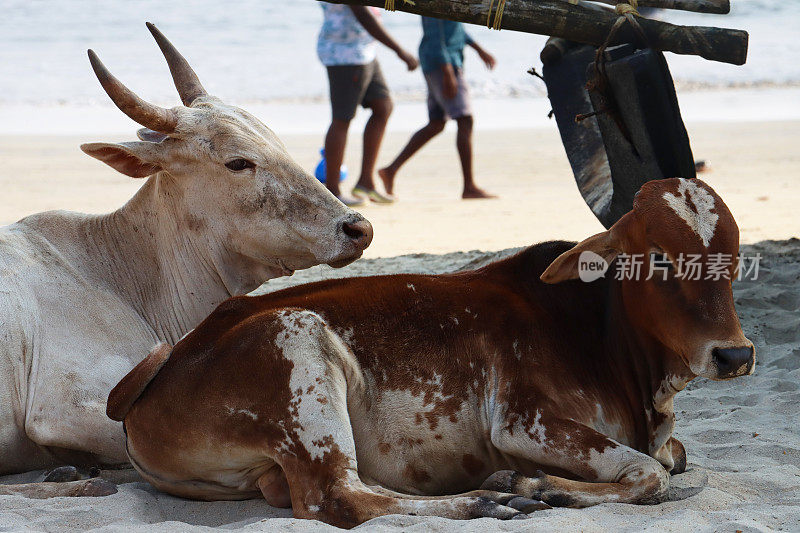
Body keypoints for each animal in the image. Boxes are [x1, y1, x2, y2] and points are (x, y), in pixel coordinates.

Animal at [109, 178, 752, 524]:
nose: (734, 356)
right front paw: (542, 486)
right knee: (341, 498)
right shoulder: (525, 420)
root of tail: (150, 383)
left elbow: (671, 458)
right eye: (659, 258)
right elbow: (650, 472)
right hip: (298, 345)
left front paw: (535, 482)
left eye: (735, 254)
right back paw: (485, 502)